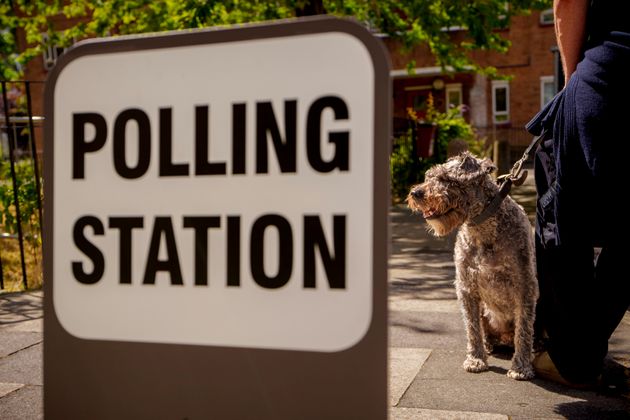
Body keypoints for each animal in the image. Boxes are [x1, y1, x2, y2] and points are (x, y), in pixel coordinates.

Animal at [410, 153, 540, 380]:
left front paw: (521, 367)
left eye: (447, 179)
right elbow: (472, 328)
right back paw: (488, 346)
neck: (483, 230)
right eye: (430, 176)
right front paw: (476, 359)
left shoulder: (525, 288)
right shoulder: (467, 287)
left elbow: (524, 329)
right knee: (486, 331)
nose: (416, 192)